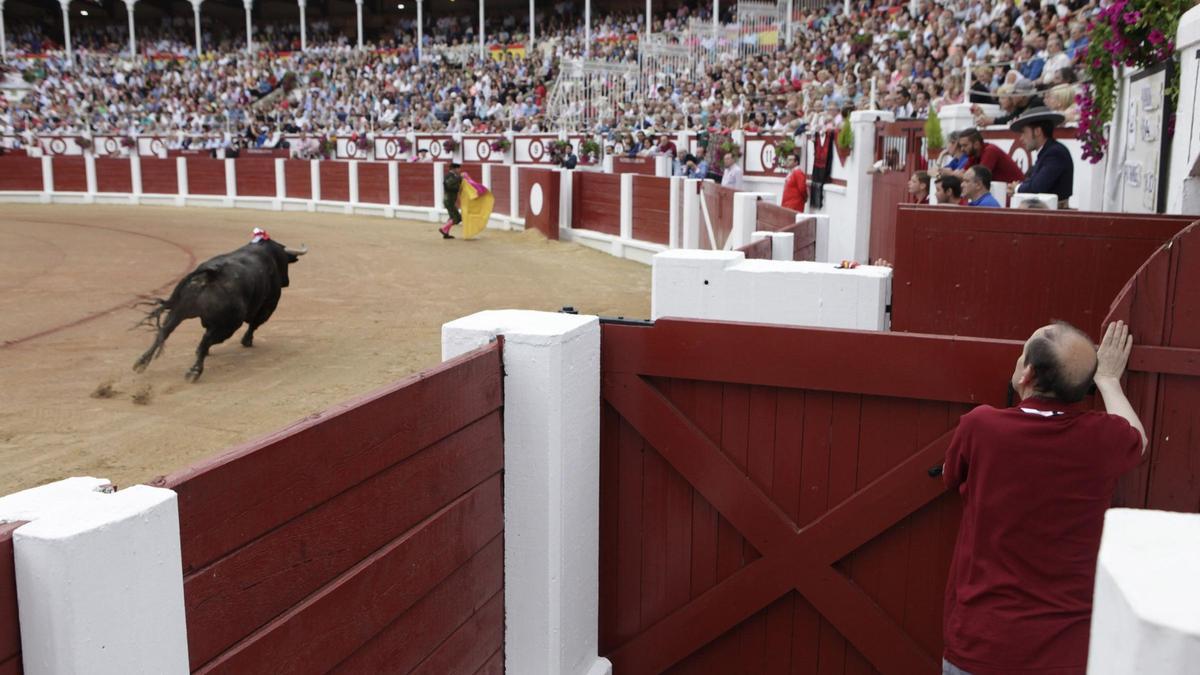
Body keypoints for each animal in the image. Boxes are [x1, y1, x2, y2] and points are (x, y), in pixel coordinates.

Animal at [132, 239, 309, 381]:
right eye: (285, 262)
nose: (287, 281)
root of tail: (210, 274)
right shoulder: (268, 306)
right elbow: (254, 325)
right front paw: (247, 341)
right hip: (229, 324)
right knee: (205, 340)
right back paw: (194, 371)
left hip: (179, 311)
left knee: (164, 332)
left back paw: (141, 362)